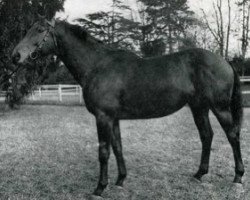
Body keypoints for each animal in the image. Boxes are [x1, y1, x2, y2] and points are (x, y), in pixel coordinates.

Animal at [11, 18, 244, 196]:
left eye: (39, 30)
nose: (15, 56)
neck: (97, 65)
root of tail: (225, 60)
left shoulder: (103, 117)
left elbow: (104, 151)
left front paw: (99, 188)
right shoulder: (113, 118)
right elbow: (118, 147)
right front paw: (120, 181)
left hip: (219, 108)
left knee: (232, 135)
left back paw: (237, 177)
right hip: (199, 107)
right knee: (207, 136)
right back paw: (199, 174)